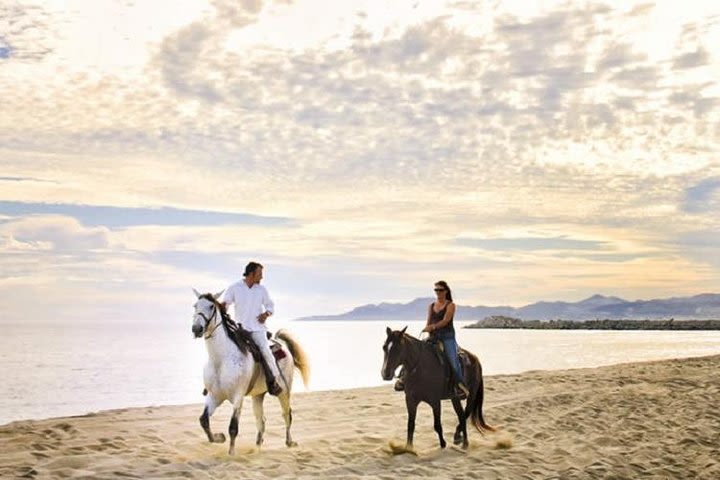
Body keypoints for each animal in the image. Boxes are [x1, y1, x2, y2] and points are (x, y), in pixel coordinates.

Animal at [190, 288, 308, 454]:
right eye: (195, 306)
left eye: (211, 306)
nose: (196, 329)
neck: (221, 360)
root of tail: (281, 345)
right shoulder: (214, 396)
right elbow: (204, 421)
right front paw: (219, 438)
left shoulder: (237, 397)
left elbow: (233, 427)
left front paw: (231, 453)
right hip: (257, 396)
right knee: (261, 421)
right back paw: (257, 448)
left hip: (284, 391)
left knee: (287, 415)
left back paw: (289, 442)